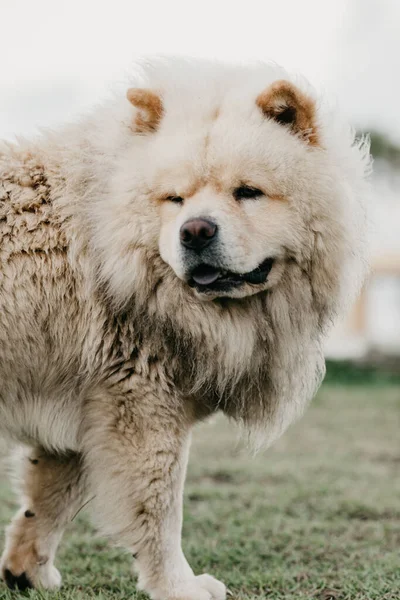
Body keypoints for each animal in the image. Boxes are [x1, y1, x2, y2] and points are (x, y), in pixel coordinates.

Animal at [0, 57, 368, 600]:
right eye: (174, 199)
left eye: (248, 193)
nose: (195, 230)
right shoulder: (142, 406)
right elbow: (159, 509)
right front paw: (179, 585)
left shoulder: (83, 407)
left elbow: (49, 500)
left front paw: (28, 571)